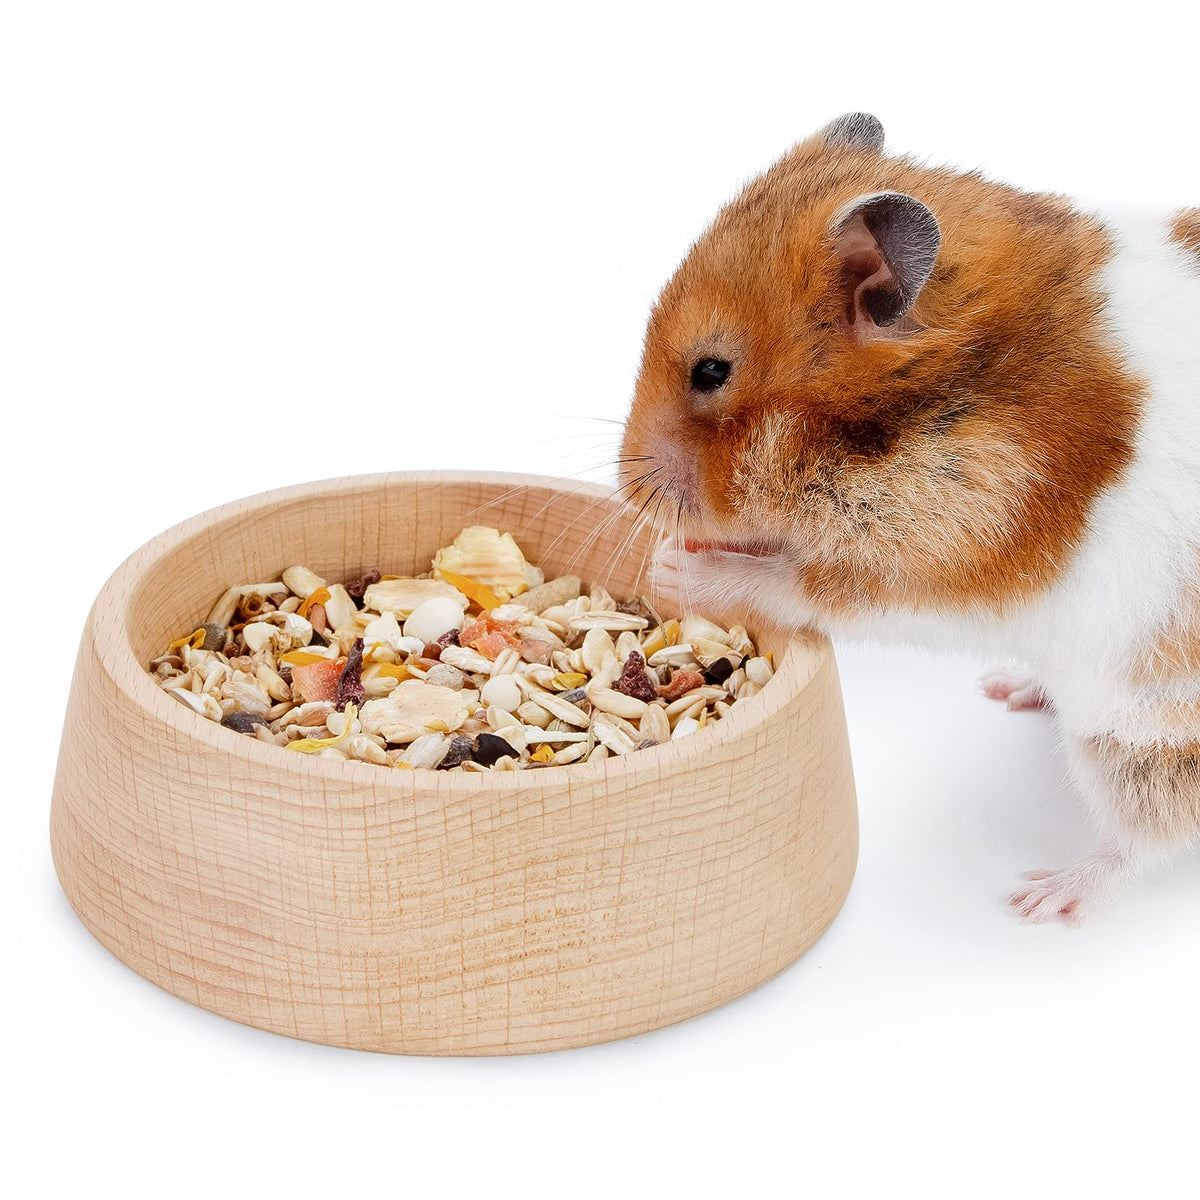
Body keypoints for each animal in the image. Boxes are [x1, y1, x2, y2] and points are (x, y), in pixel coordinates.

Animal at [619, 112, 1200, 924]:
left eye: (710, 371)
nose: (624, 488)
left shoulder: (940, 561)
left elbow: (795, 584)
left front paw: (674, 564)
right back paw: (1011, 689)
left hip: (1144, 736)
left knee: (1147, 838)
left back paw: (1041, 897)